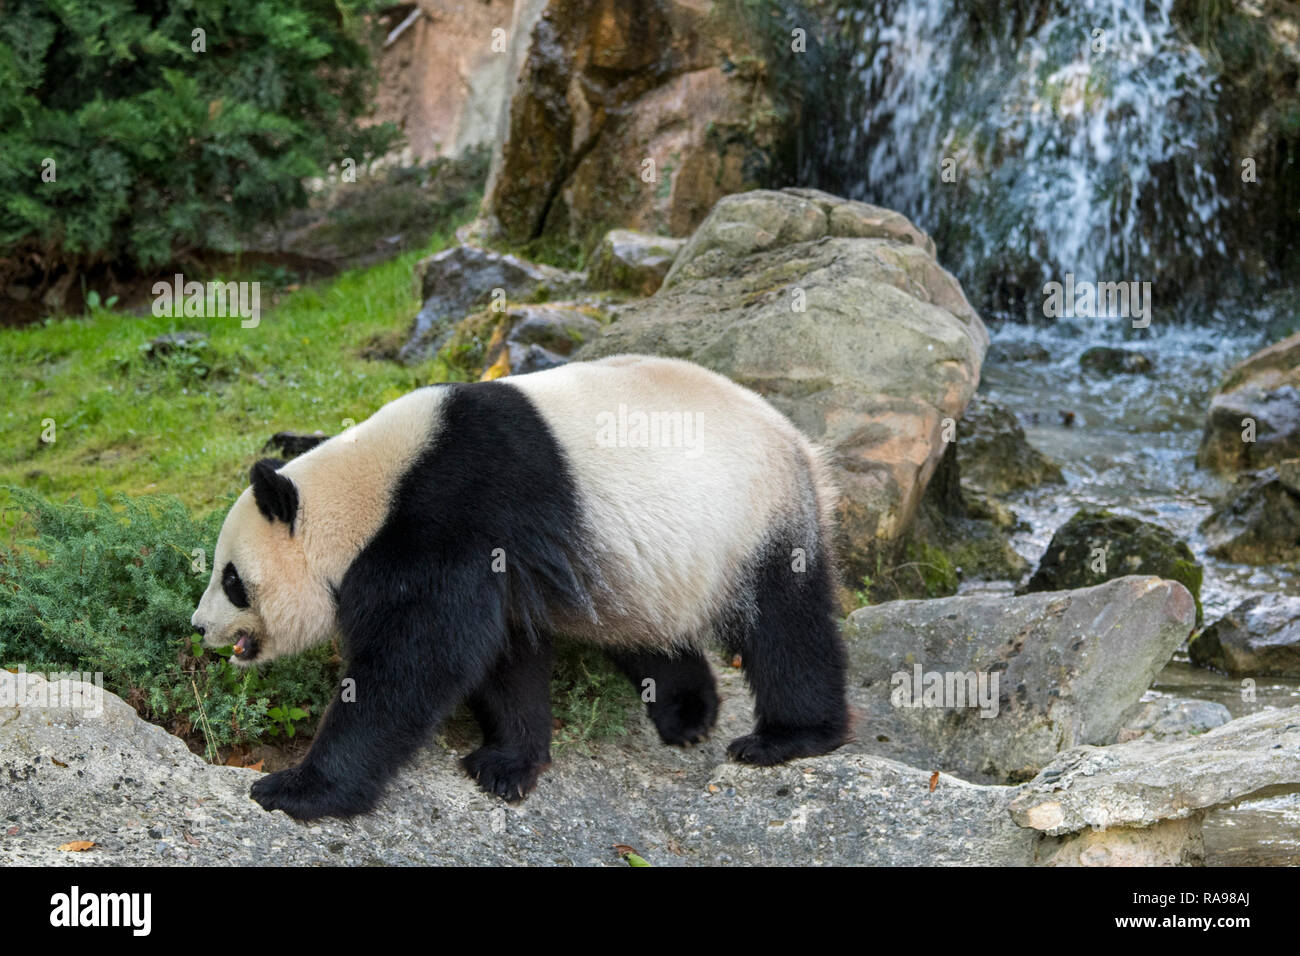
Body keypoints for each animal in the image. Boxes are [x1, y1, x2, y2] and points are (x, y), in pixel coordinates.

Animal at [189, 356, 842, 816]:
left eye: (232, 579)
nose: (198, 627)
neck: (369, 492)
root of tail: (799, 439)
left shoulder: (450, 520)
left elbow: (414, 665)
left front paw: (297, 789)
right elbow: (504, 655)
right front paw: (507, 764)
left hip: (755, 516)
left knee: (786, 624)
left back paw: (789, 739)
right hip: (649, 566)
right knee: (648, 628)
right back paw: (687, 713)